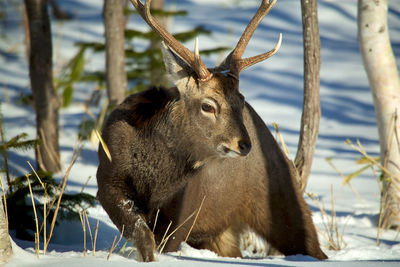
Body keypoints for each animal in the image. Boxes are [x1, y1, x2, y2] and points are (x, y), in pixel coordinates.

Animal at [95, 0, 326, 264]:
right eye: (208, 106)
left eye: (241, 100)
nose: (244, 144)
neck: (154, 180)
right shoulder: (107, 179)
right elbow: (142, 234)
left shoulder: (186, 207)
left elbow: (163, 243)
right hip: (220, 230)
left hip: (281, 200)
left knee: (312, 245)